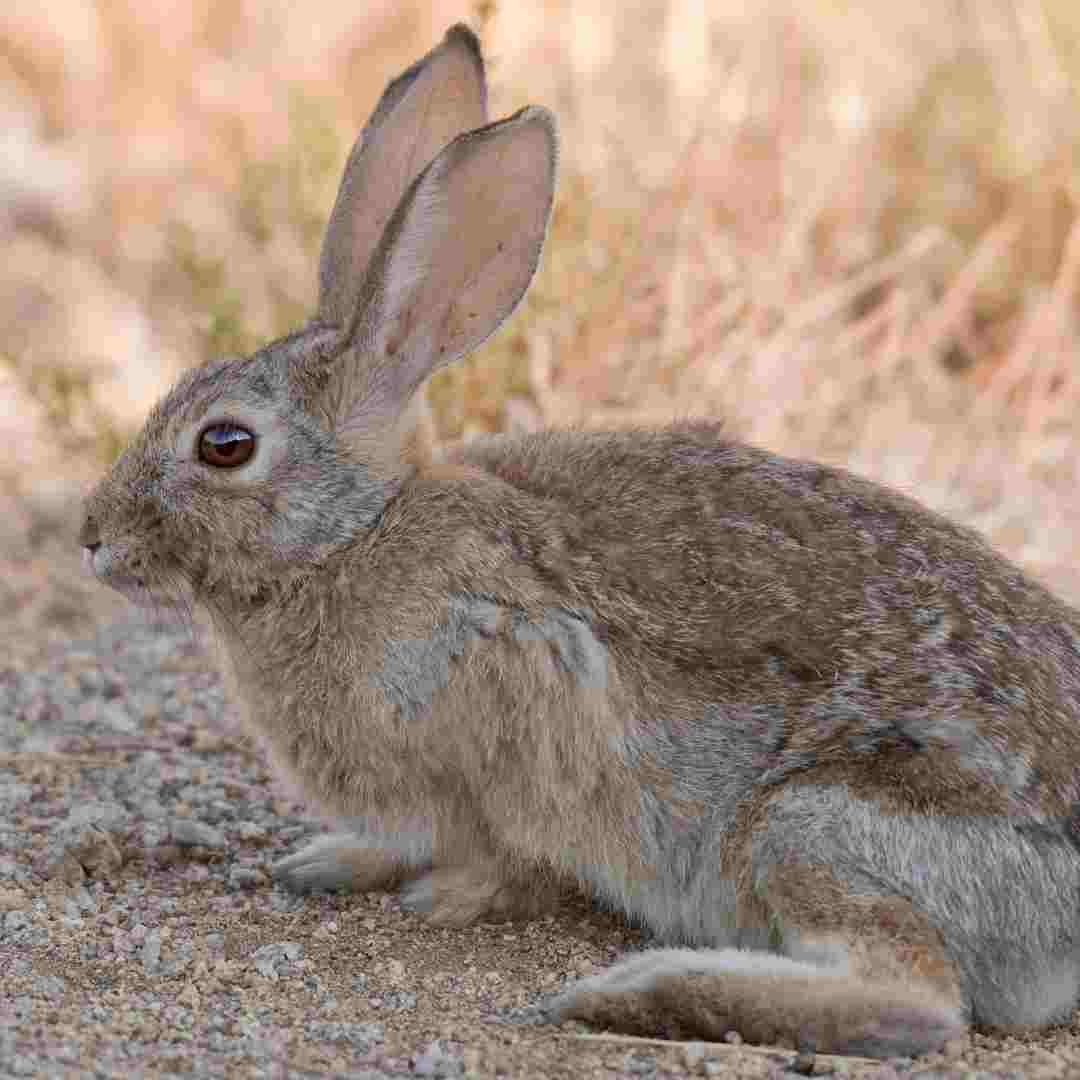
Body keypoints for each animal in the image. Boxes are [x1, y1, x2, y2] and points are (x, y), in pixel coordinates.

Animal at [79, 21, 1080, 1058]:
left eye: (225, 445)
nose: (92, 538)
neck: (350, 535)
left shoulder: (512, 680)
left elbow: (507, 848)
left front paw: (449, 897)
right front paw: (328, 859)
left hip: (814, 823)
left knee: (916, 1000)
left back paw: (637, 992)